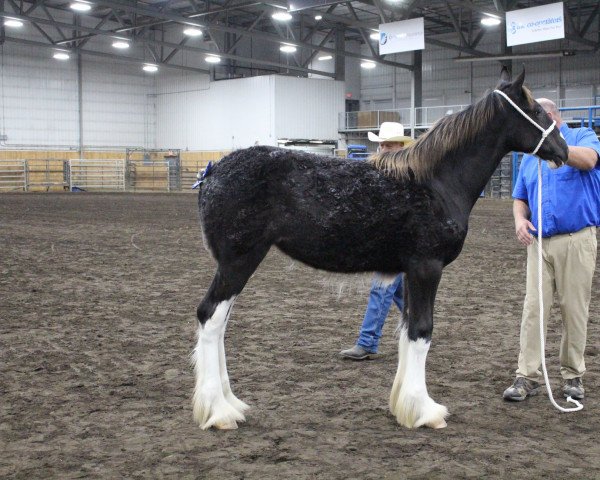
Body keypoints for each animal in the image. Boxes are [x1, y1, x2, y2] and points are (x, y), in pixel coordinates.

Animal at [192, 68, 568, 432]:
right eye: (536, 111)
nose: (563, 151)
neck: (436, 182)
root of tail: (213, 171)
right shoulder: (427, 267)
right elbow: (421, 331)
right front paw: (425, 411)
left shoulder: (411, 272)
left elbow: (407, 331)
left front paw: (405, 406)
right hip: (238, 261)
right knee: (210, 317)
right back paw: (219, 411)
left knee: (220, 322)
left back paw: (231, 403)